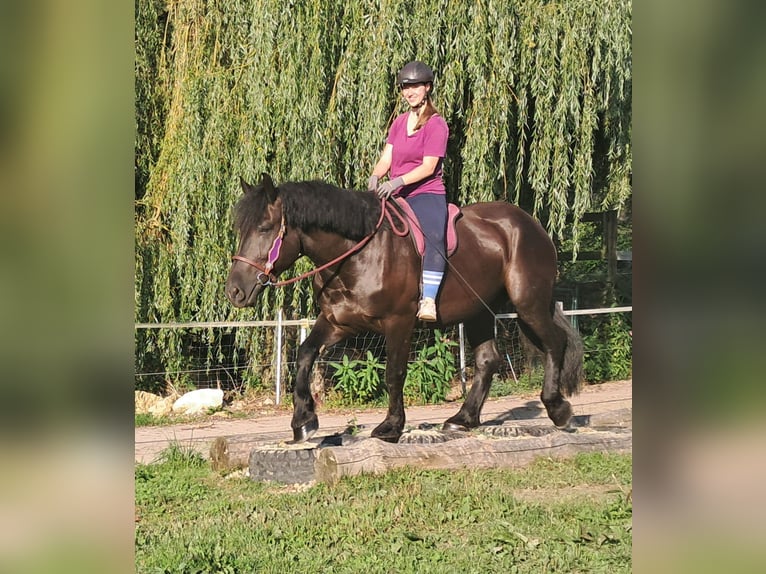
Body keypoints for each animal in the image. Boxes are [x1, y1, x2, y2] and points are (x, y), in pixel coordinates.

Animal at [225, 173, 583, 443]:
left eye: (265, 228)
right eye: (239, 229)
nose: (235, 290)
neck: (358, 253)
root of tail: (530, 225)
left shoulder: (398, 322)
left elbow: (394, 373)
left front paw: (390, 426)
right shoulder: (337, 322)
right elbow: (304, 356)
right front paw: (303, 420)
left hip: (528, 303)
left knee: (554, 344)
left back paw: (558, 409)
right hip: (479, 311)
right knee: (488, 360)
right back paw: (463, 418)